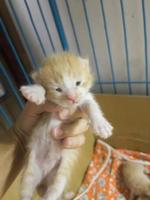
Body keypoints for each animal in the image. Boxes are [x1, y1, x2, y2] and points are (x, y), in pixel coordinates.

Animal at [20, 52, 113, 199]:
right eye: (58, 89)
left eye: (78, 83)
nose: (72, 98)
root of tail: (44, 177)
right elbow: (42, 89)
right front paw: (35, 92)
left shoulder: (83, 100)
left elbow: (91, 105)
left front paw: (101, 125)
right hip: (30, 171)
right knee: (26, 190)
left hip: (60, 174)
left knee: (55, 189)